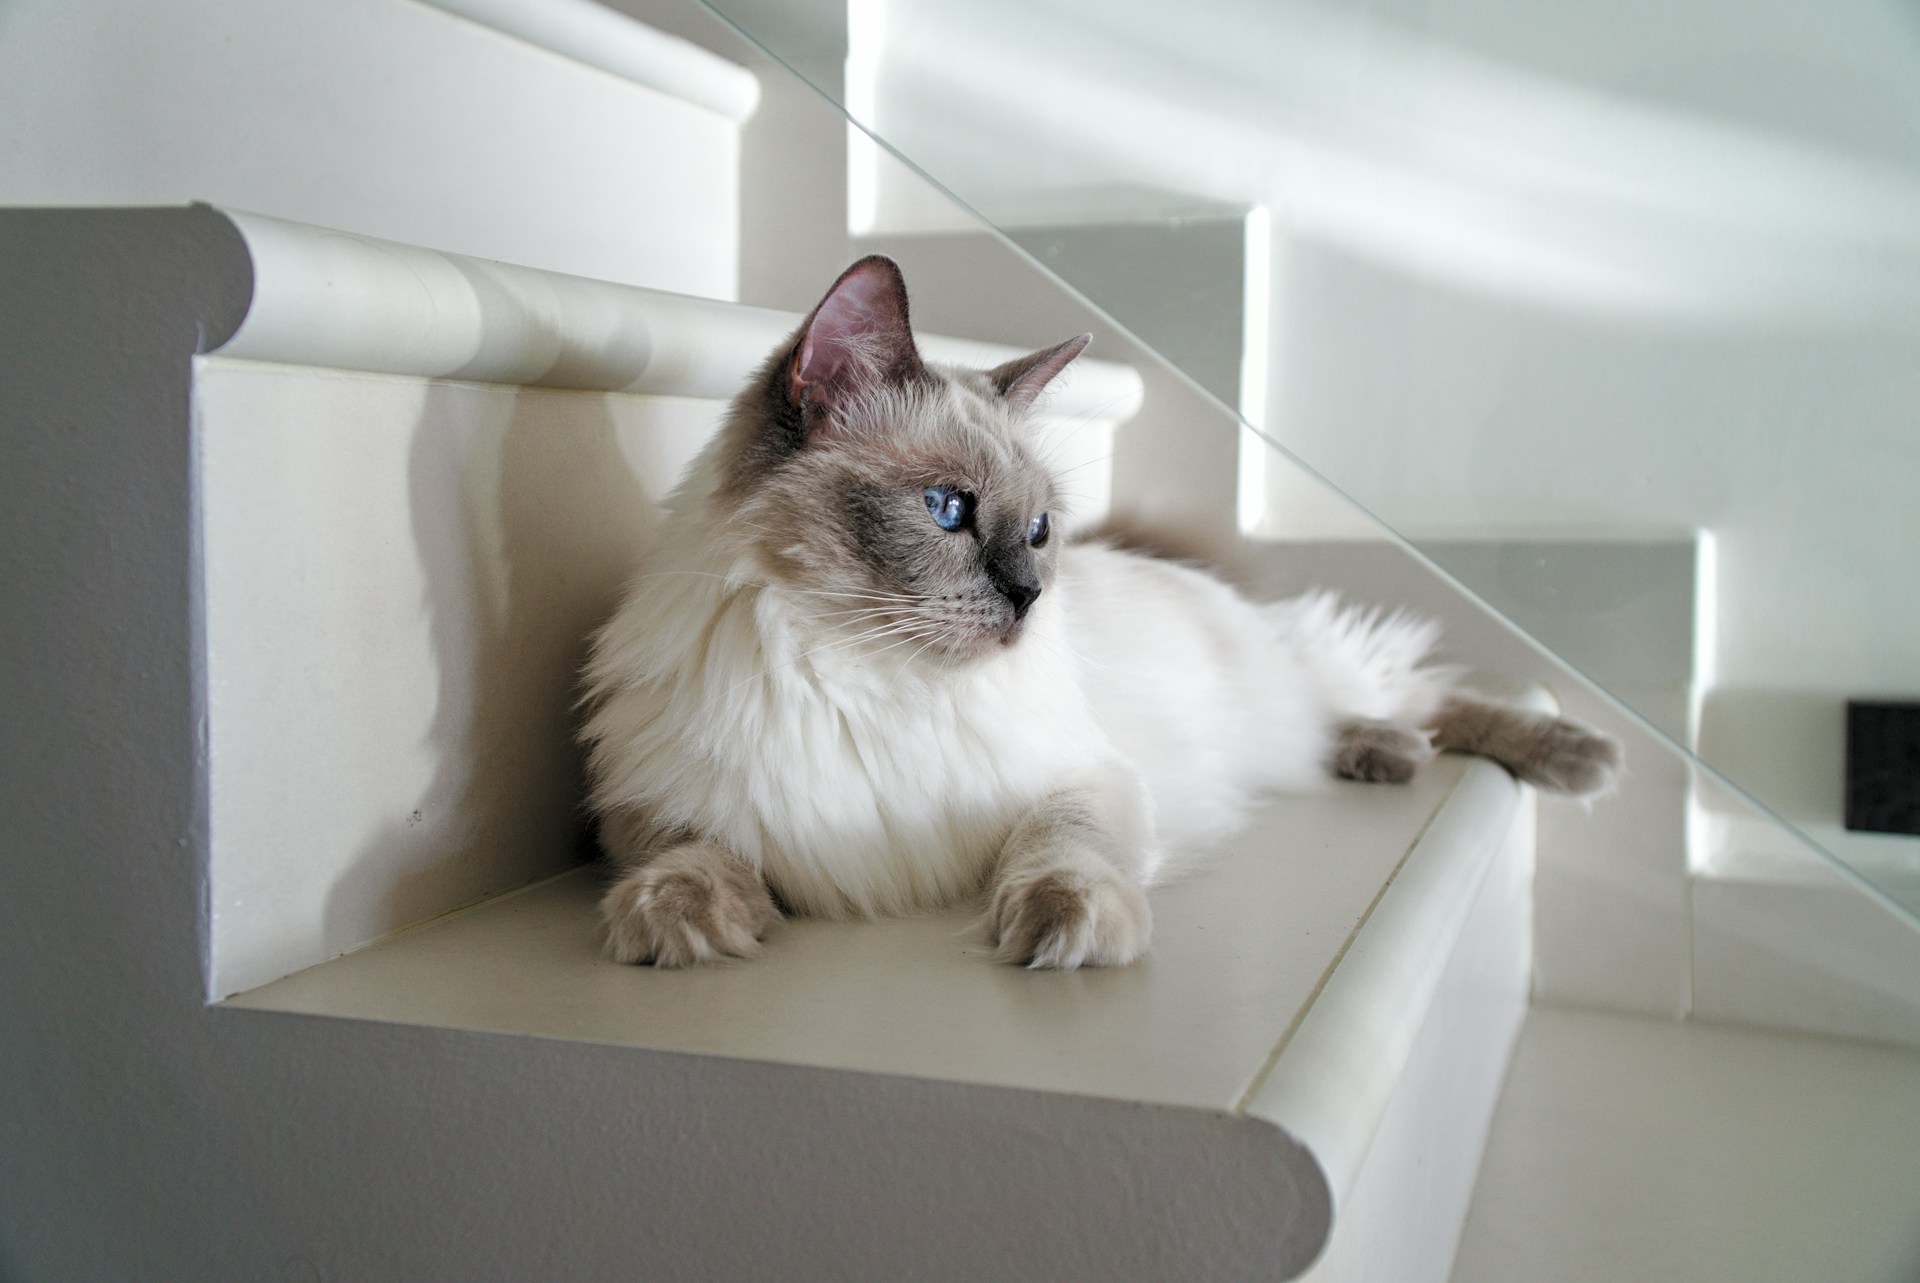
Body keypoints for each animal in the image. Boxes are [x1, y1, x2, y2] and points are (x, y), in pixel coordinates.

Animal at [572, 253, 1620, 971]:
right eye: (947, 509)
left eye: (1038, 530)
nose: (1033, 597)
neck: (865, 679)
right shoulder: (655, 808)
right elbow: (698, 854)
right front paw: (674, 919)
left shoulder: (1080, 782)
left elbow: (1060, 851)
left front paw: (1067, 929)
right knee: (1373, 717)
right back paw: (1385, 755)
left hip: (1291, 673)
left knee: (1419, 694)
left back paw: (1578, 756)